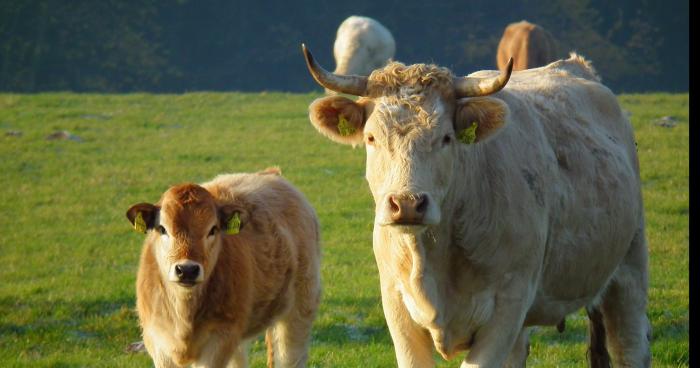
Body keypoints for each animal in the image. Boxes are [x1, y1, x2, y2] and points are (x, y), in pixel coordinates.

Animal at [300, 43, 652, 368]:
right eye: (371, 137)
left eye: (446, 138)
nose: (407, 204)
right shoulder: (396, 305)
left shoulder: (509, 305)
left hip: (629, 272)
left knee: (630, 345)